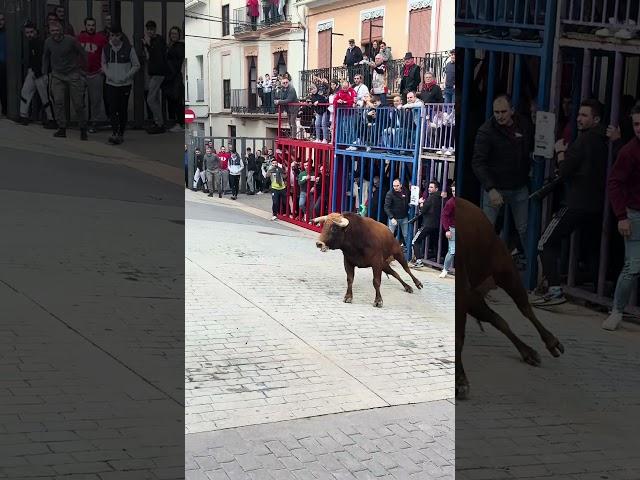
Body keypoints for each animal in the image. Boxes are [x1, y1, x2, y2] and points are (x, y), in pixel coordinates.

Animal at [456, 197, 564, 400]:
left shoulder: (462, 293)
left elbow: (459, 337)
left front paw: (460, 381)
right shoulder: (467, 296)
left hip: (505, 270)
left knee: (524, 307)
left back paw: (550, 342)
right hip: (477, 292)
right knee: (498, 319)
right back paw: (528, 352)